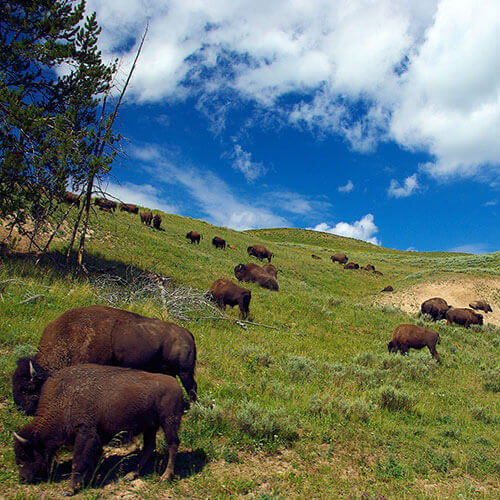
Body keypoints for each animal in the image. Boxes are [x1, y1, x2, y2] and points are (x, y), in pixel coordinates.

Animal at [11, 304, 197, 414]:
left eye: (28, 388)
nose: (21, 408)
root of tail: (187, 333)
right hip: (170, 372)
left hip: (185, 372)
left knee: (191, 387)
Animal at [14, 364, 186, 496]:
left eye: (25, 454)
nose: (22, 478)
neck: (64, 399)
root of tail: (176, 384)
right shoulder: (94, 438)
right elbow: (91, 459)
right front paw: (88, 480)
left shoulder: (85, 434)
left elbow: (77, 462)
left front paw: (69, 490)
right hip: (150, 426)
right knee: (149, 446)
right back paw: (131, 474)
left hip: (168, 422)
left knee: (172, 444)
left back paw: (165, 476)